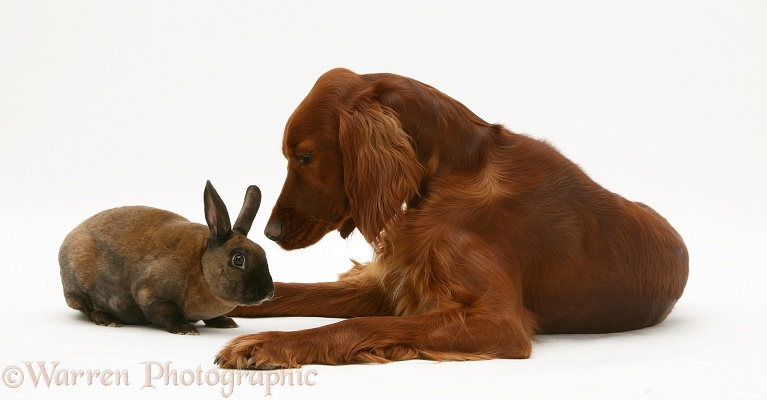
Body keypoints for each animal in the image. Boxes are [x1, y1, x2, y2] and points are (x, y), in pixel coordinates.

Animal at [60, 181, 276, 334]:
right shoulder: (150, 294)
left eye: (264, 253)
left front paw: (225, 322)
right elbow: (167, 312)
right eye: (238, 259)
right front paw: (186, 329)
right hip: (79, 290)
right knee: (88, 307)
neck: (201, 264)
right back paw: (108, 320)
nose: (268, 292)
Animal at [214, 68, 688, 368]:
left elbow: (361, 324)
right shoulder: (397, 285)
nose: (271, 232)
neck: (453, 171)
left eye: (305, 157)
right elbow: (290, 292)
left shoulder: (497, 321)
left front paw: (266, 344)